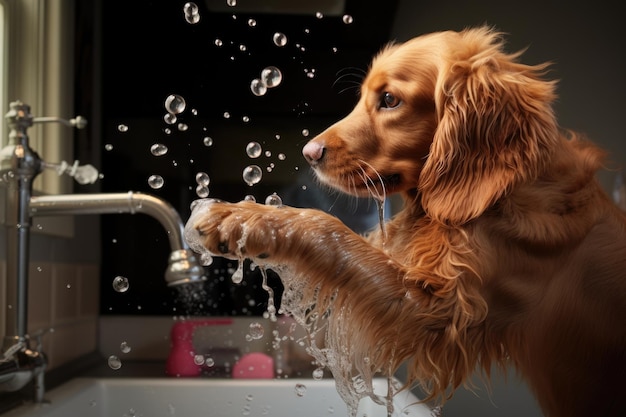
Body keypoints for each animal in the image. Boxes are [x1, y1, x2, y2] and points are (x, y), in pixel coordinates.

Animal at [195, 26, 624, 416]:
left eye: (389, 99)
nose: (309, 152)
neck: (507, 191)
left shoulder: (434, 309)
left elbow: (328, 228)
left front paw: (243, 219)